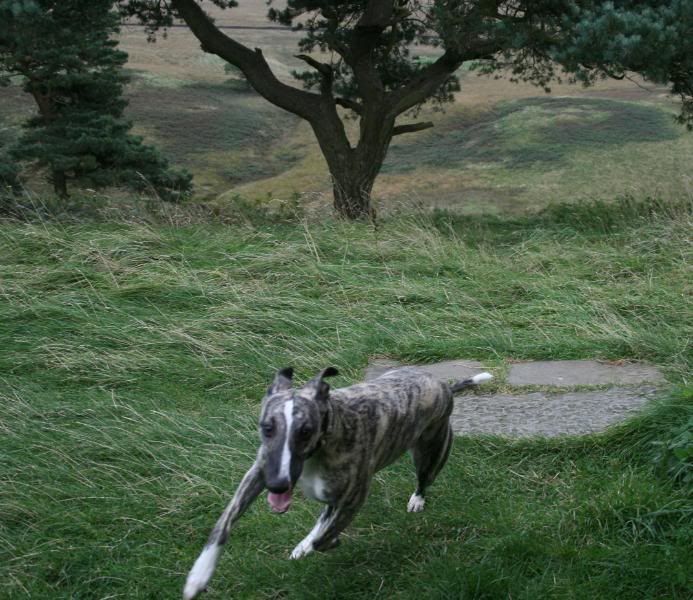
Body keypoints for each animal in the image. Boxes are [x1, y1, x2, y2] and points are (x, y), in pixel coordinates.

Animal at [184, 366, 492, 596]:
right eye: (267, 427)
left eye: (305, 430)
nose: (278, 486)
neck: (329, 431)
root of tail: (442, 385)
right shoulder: (260, 471)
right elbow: (223, 523)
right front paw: (198, 577)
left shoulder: (354, 497)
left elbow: (325, 537)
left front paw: (324, 542)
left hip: (430, 452)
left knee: (423, 480)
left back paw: (417, 499)